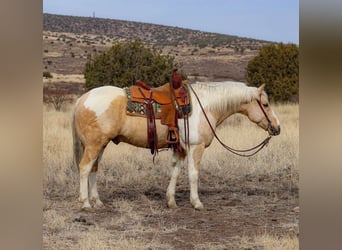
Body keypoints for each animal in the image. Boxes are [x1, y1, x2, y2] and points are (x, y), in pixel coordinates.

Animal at [73, 81, 280, 210]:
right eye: (265, 104)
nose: (277, 128)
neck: (205, 106)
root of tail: (82, 98)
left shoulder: (180, 149)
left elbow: (175, 171)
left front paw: (171, 201)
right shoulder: (196, 147)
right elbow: (193, 174)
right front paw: (196, 203)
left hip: (101, 145)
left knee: (94, 169)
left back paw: (97, 201)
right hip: (94, 145)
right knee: (84, 168)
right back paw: (85, 203)